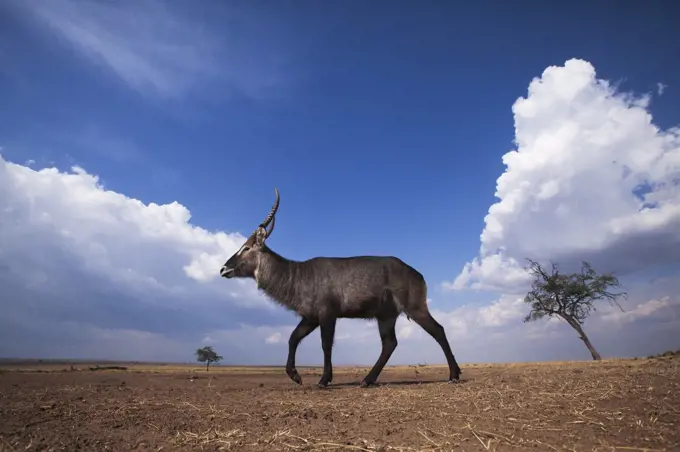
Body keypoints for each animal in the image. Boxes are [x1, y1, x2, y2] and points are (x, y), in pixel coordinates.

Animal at [219, 189, 462, 386]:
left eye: (246, 247)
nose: (223, 269)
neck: (297, 274)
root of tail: (418, 274)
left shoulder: (328, 314)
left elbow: (326, 344)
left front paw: (324, 380)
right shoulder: (311, 317)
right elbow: (293, 337)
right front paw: (295, 376)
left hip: (414, 308)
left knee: (438, 330)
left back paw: (454, 375)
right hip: (386, 316)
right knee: (390, 343)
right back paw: (367, 380)